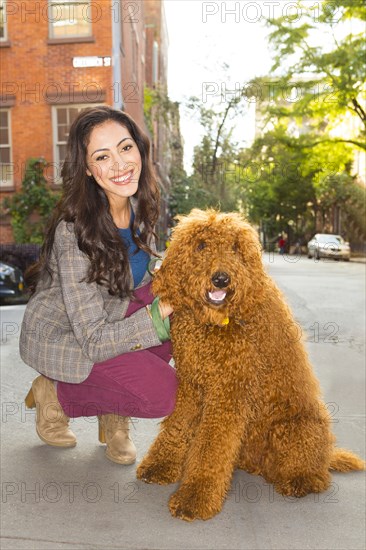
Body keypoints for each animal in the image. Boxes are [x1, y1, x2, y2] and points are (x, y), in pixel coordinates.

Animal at [136, 210, 364, 520]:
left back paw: (299, 481)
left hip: (292, 430)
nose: (221, 279)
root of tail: (326, 455)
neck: (215, 322)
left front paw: (195, 497)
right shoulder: (191, 383)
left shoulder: (229, 392)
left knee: (318, 477)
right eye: (201, 245)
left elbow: (211, 447)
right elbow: (177, 426)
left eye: (235, 248)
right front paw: (160, 466)